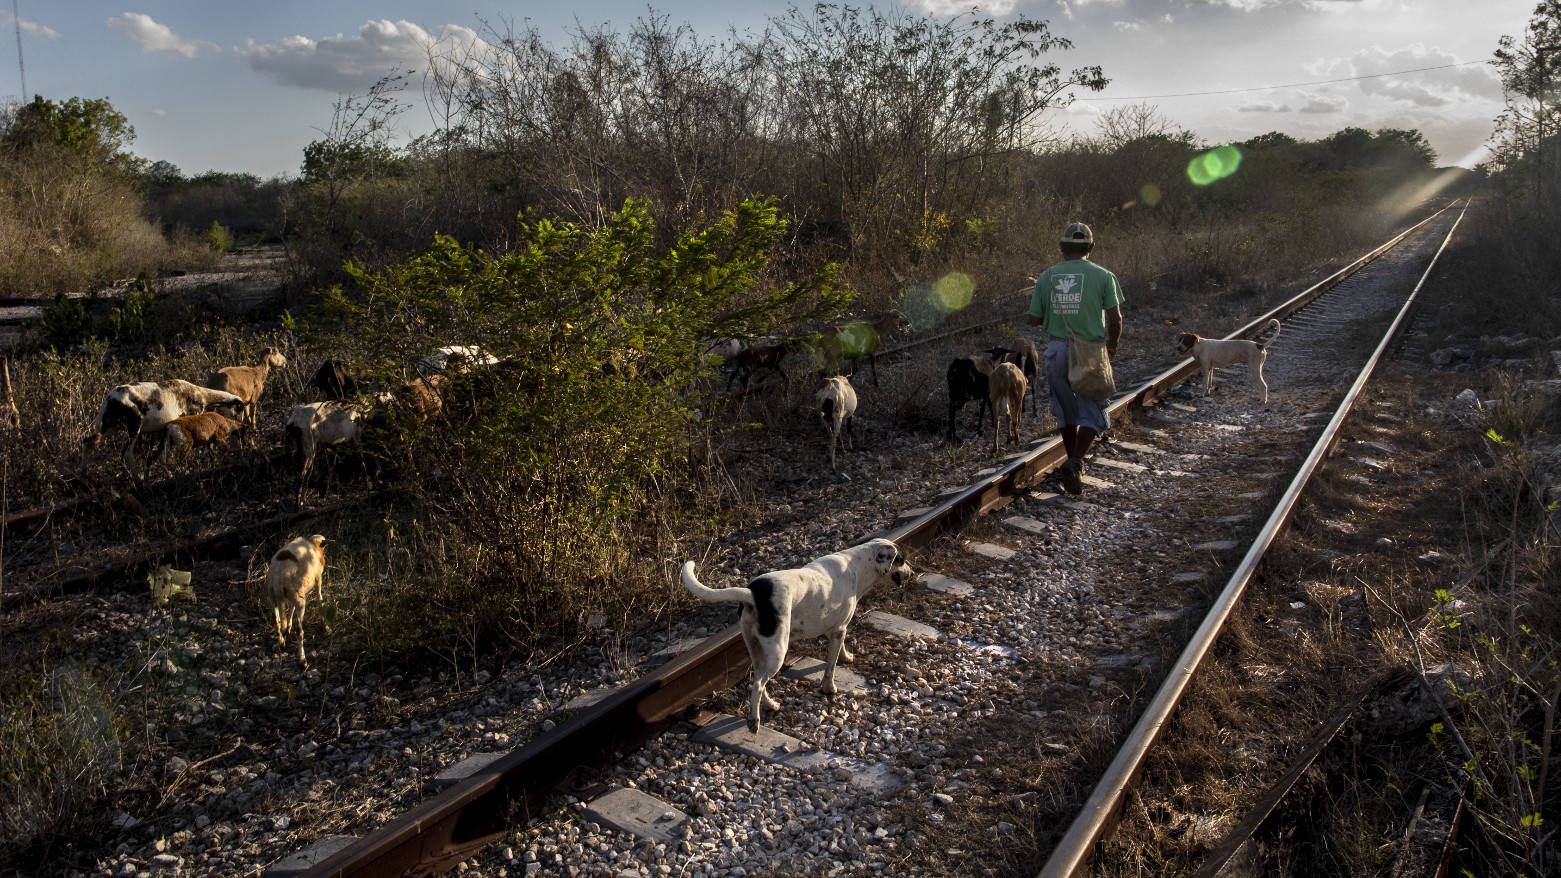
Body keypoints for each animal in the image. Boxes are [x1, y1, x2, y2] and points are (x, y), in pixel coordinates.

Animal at [265, 534, 329, 662]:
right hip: (300, 600)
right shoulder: (318, 580)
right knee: (299, 630)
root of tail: (278, 580)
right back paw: (302, 659)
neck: (314, 545)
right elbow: (320, 600)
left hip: (273, 598)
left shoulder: (293, 596)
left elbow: (290, 609)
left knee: (276, 621)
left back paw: (282, 642)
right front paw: (325, 626)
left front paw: (288, 628)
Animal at [683, 534, 911, 731]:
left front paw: (846, 656)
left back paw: (771, 704)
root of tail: (753, 594)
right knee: (757, 685)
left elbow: (841, 649)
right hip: (778, 651)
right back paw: (754, 721)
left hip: (756, 649)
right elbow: (830, 667)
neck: (858, 566)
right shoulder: (838, 630)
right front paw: (829, 688)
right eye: (901, 560)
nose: (913, 572)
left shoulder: (838, 628)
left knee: (757, 679)